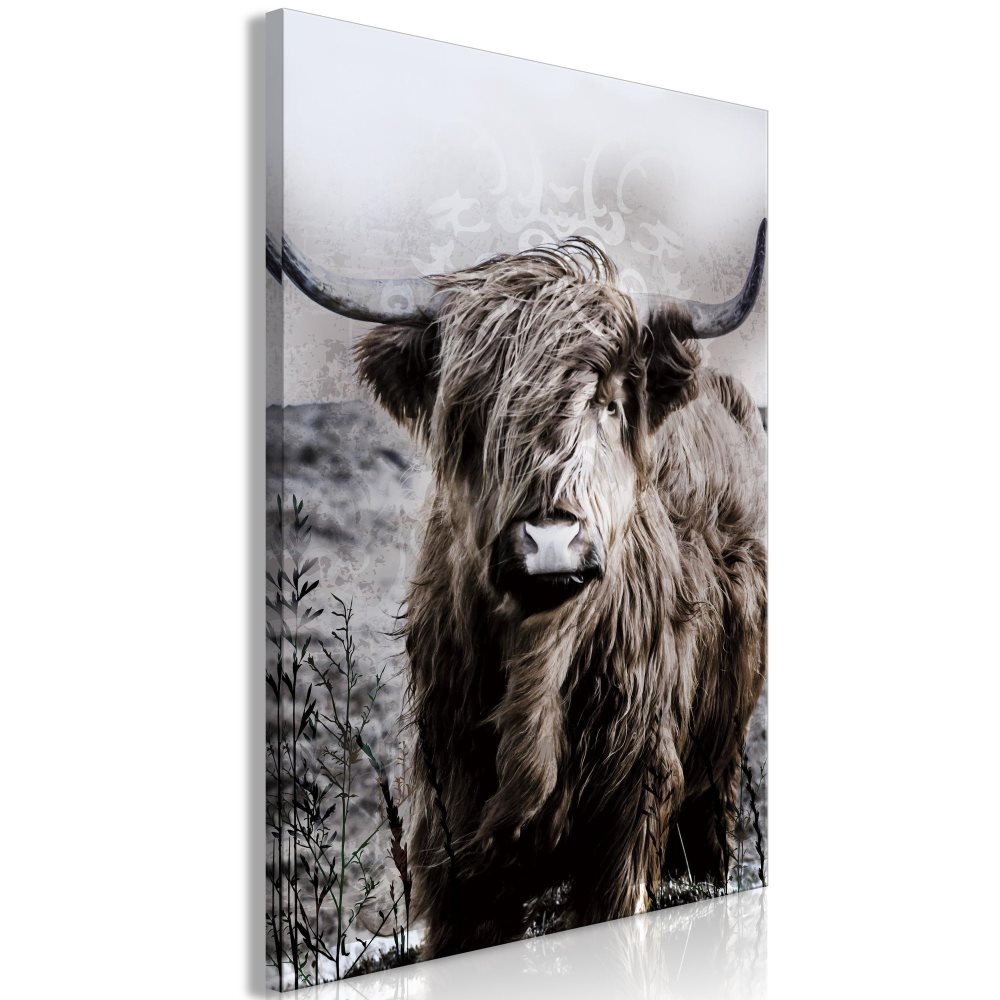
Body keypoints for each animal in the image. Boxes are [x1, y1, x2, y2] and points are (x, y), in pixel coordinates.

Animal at [267, 220, 767, 959]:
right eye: (474, 414)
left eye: (609, 404)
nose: (549, 541)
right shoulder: (449, 826)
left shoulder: (632, 809)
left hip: (719, 767)